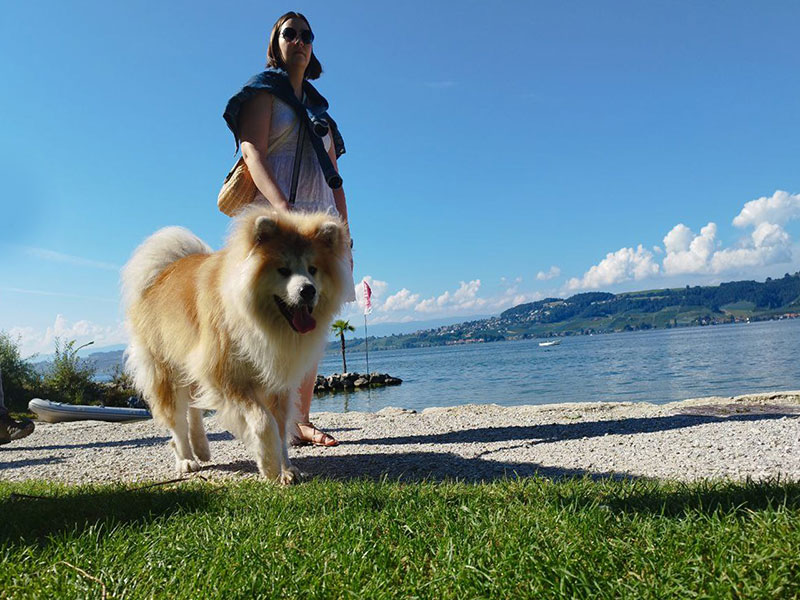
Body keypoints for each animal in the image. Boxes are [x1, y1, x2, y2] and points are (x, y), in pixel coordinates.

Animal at [121, 206, 350, 484]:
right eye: (283, 270)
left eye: (313, 269)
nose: (308, 290)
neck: (260, 323)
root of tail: (160, 273)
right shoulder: (228, 377)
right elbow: (263, 422)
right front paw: (269, 465)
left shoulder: (279, 383)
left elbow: (281, 428)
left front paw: (286, 468)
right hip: (165, 369)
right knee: (177, 419)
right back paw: (186, 459)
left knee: (194, 408)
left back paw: (201, 447)